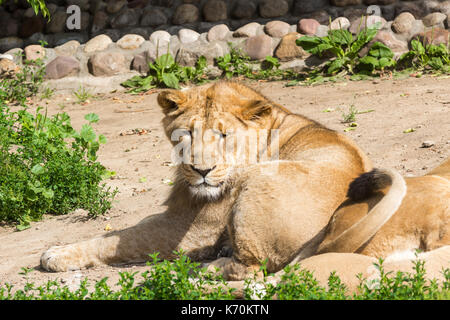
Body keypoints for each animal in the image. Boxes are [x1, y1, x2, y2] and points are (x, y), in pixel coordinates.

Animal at [40, 80, 406, 280]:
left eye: (223, 135)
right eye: (186, 134)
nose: (201, 171)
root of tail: (336, 235)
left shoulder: (189, 231)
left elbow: (117, 239)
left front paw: (55, 254)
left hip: (257, 184)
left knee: (251, 268)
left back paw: (206, 268)